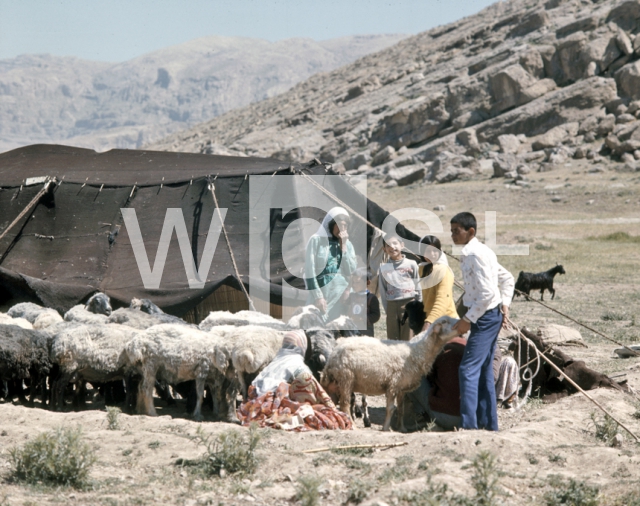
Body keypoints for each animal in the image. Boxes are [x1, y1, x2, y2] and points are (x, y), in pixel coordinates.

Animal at [322, 316, 458, 430]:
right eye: (445, 322)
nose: (460, 324)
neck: (416, 351)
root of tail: (333, 354)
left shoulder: (401, 388)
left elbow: (401, 409)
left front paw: (401, 428)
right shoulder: (393, 384)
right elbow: (390, 409)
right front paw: (386, 428)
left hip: (337, 382)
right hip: (346, 379)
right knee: (344, 405)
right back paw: (353, 426)